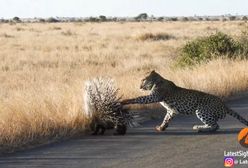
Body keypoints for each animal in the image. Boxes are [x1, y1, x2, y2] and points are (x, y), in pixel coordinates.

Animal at [120, 70, 248, 132]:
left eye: (143, 80)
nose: (139, 86)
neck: (157, 80)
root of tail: (224, 104)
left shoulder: (153, 97)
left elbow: (138, 99)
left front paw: (124, 101)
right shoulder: (171, 110)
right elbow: (166, 118)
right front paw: (161, 128)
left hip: (201, 110)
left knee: (215, 126)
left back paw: (200, 129)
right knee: (214, 124)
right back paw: (199, 127)